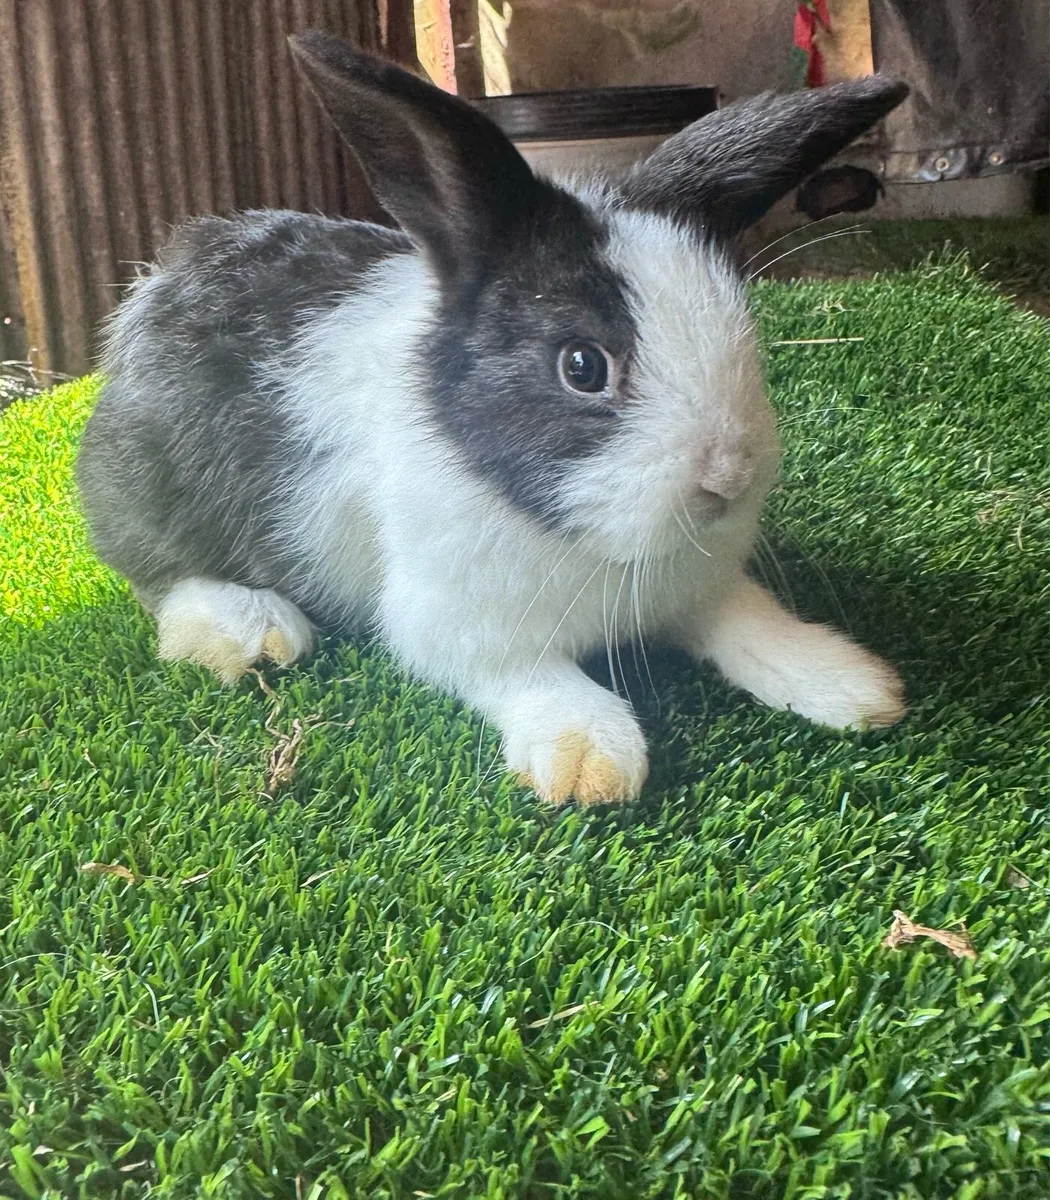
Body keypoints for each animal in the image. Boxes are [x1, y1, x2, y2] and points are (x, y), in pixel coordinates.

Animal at [76, 30, 909, 806]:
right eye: (583, 367)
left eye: (745, 331)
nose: (727, 480)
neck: (592, 546)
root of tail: (158, 283)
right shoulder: (457, 628)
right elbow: (533, 678)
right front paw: (589, 759)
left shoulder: (699, 587)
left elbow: (749, 621)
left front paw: (853, 684)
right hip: (151, 493)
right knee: (158, 578)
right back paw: (250, 629)